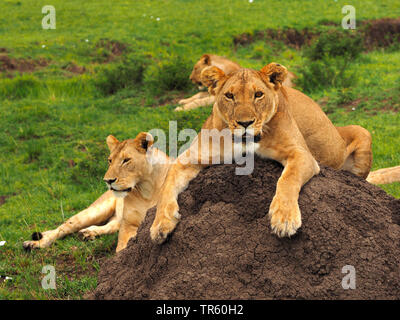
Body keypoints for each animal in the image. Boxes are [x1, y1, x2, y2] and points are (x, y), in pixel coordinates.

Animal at [23, 132, 170, 252]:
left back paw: (88, 233)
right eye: (110, 160)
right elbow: (122, 248)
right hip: (95, 211)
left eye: (126, 160)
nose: (108, 181)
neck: (146, 190)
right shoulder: (128, 224)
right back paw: (34, 244)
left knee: (111, 225)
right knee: (64, 227)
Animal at [152, 62, 398, 242]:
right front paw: (160, 225)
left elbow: (287, 179)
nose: (245, 123)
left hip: (363, 133)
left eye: (258, 94)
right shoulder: (188, 158)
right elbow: (165, 188)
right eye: (229, 96)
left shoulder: (301, 154)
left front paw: (284, 219)